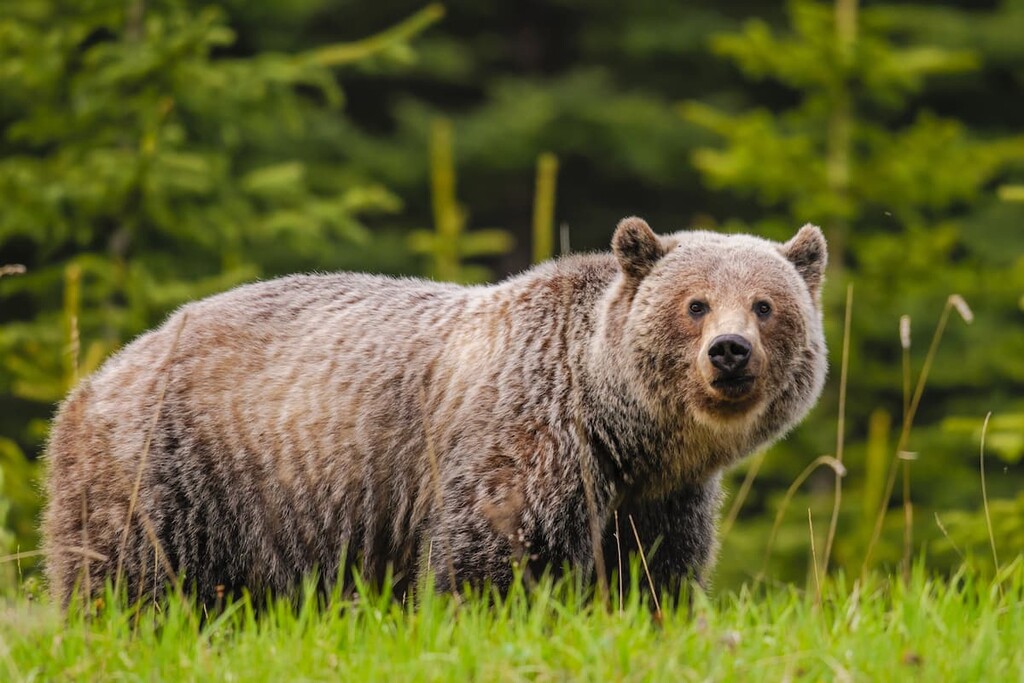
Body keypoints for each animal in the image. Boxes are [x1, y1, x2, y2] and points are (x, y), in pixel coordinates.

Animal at [42, 217, 827, 606]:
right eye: (695, 303)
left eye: (765, 303)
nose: (730, 351)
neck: (623, 430)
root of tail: (96, 377)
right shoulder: (528, 441)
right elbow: (491, 560)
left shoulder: (657, 497)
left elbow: (652, 575)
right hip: (172, 473)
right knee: (133, 584)